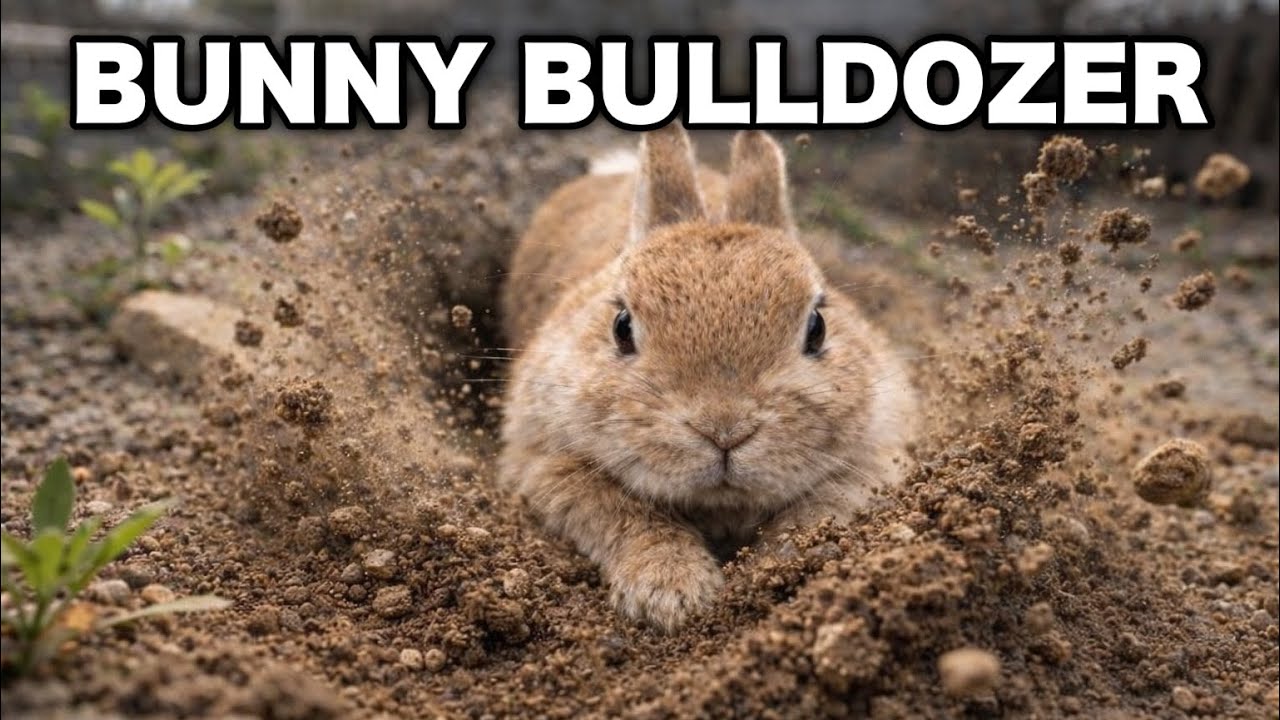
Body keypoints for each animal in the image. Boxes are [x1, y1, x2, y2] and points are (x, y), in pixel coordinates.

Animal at [498, 125, 918, 632]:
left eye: (817, 327)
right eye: (621, 326)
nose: (725, 431)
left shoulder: (876, 457)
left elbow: (815, 514)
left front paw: (765, 572)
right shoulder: (542, 460)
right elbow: (624, 515)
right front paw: (672, 593)